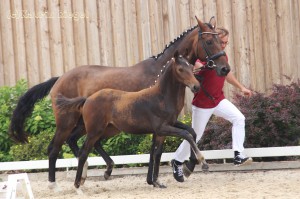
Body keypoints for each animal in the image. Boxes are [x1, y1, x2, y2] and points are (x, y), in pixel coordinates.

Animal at [55, 51, 206, 188]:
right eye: (180, 69)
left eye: (191, 67)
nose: (196, 86)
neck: (162, 97)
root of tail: (87, 99)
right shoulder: (162, 129)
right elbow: (186, 135)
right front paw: (202, 161)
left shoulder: (166, 128)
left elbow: (164, 149)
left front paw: (158, 181)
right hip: (94, 131)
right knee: (83, 153)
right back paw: (77, 184)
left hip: (107, 130)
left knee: (91, 147)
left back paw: (100, 174)